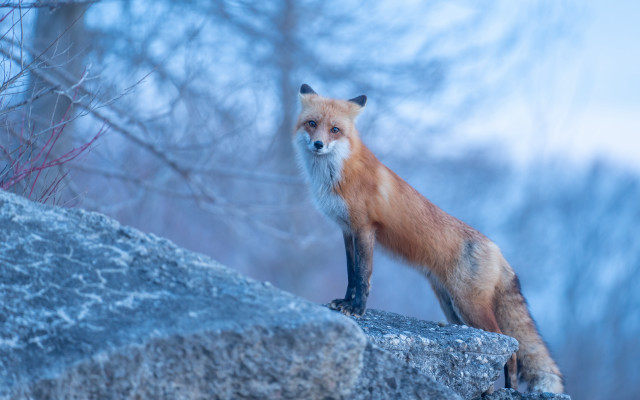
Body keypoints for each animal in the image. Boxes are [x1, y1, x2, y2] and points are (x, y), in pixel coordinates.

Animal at [292, 84, 564, 393]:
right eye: (312, 124)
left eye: (335, 130)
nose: (318, 144)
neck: (338, 173)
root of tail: (497, 249)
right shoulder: (347, 231)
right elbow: (351, 274)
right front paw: (344, 303)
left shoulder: (365, 228)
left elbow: (363, 276)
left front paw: (357, 309)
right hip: (452, 309)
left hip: (469, 306)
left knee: (512, 344)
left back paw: (509, 388)